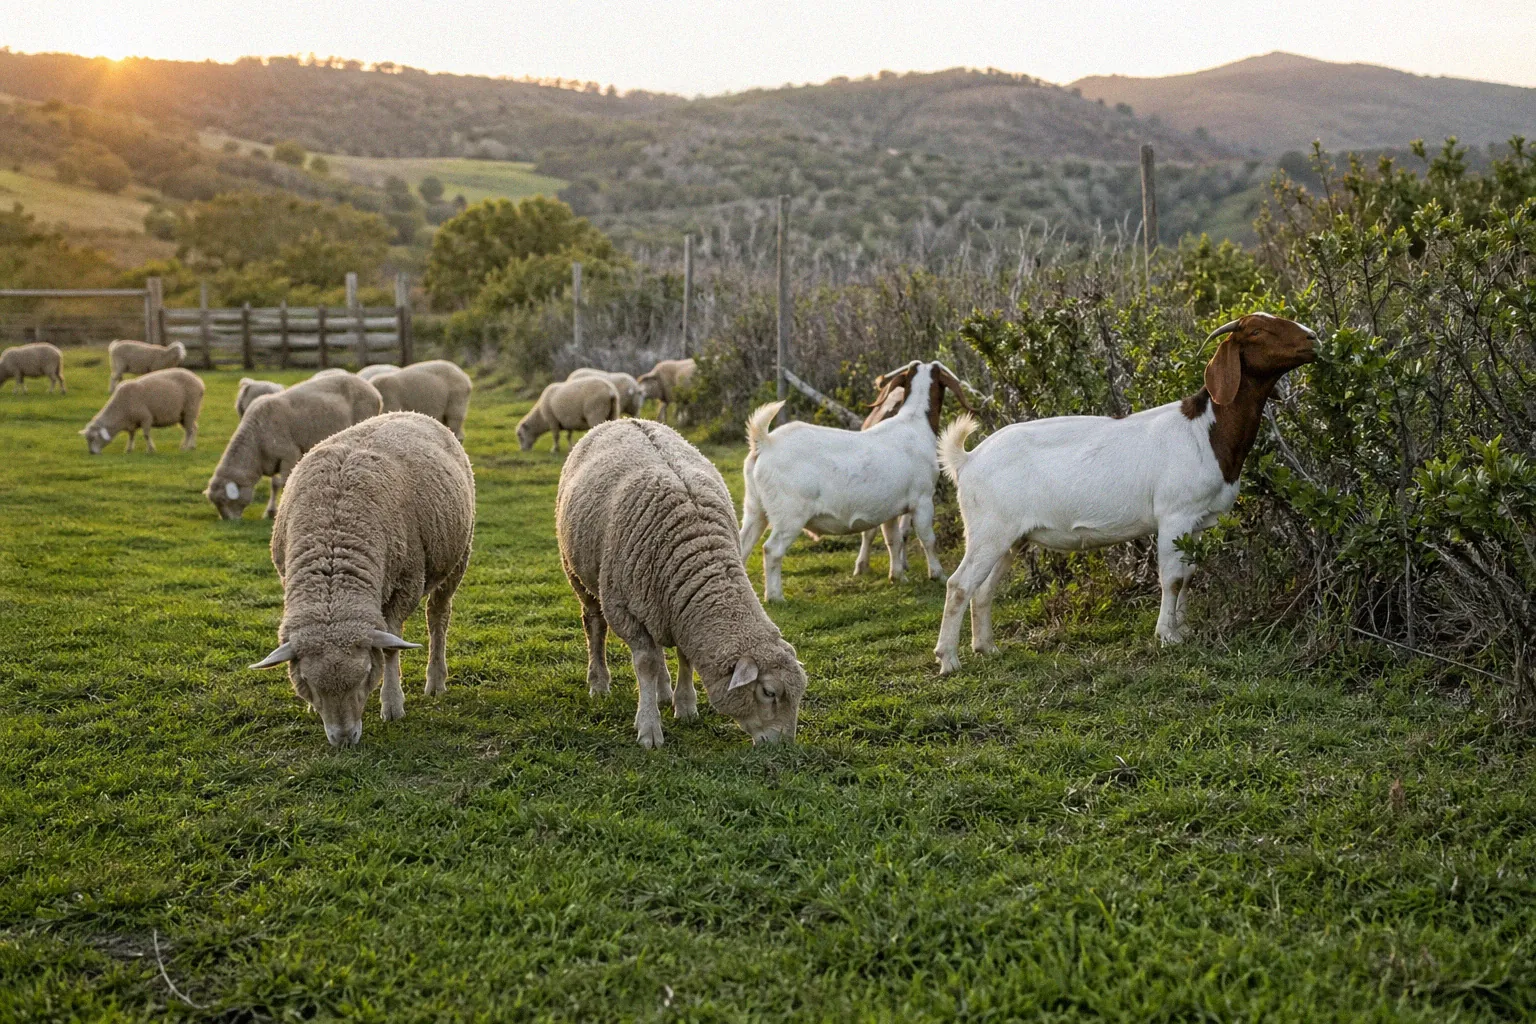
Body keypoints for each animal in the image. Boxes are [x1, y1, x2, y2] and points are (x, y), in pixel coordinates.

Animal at [205, 372, 382, 520]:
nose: (229, 521)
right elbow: (274, 484)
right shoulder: (272, 460)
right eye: (216, 503)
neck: (255, 443)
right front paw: (270, 512)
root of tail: (373, 390)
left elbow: (282, 484)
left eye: (225, 500)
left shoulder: (289, 455)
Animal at [249, 412, 475, 747]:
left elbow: (392, 647)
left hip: (458, 558)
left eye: (367, 672)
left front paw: (392, 704)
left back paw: (435, 680)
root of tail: (409, 412)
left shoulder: (405, 584)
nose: (344, 739)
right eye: (307, 682)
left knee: (438, 617)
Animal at [557, 418, 806, 748]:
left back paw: (663, 692)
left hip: (654, 599)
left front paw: (685, 705)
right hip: (579, 575)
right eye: (769, 692)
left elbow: (683, 657)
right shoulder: (625, 610)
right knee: (595, 626)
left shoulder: (680, 606)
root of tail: (621, 420)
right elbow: (645, 663)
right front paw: (649, 728)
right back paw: (599, 683)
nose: (785, 746)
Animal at [739, 360, 971, 602]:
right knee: (772, 549)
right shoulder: (923, 499)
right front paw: (937, 574)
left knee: (743, 543)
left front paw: (898, 576)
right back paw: (775, 597)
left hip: (755, 507)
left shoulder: (890, 507)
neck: (915, 421)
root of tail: (765, 442)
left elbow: (893, 540)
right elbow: (928, 538)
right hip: (789, 514)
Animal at [933, 313, 1319, 673]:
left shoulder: (1194, 522)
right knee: (959, 584)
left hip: (1011, 537)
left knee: (984, 589)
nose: (1312, 338)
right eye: (1256, 331)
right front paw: (1167, 636)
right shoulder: (1174, 515)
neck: (1206, 431)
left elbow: (1189, 576)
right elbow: (1172, 578)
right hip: (989, 529)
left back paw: (986, 648)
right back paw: (949, 660)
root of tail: (967, 460)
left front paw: (1184, 630)